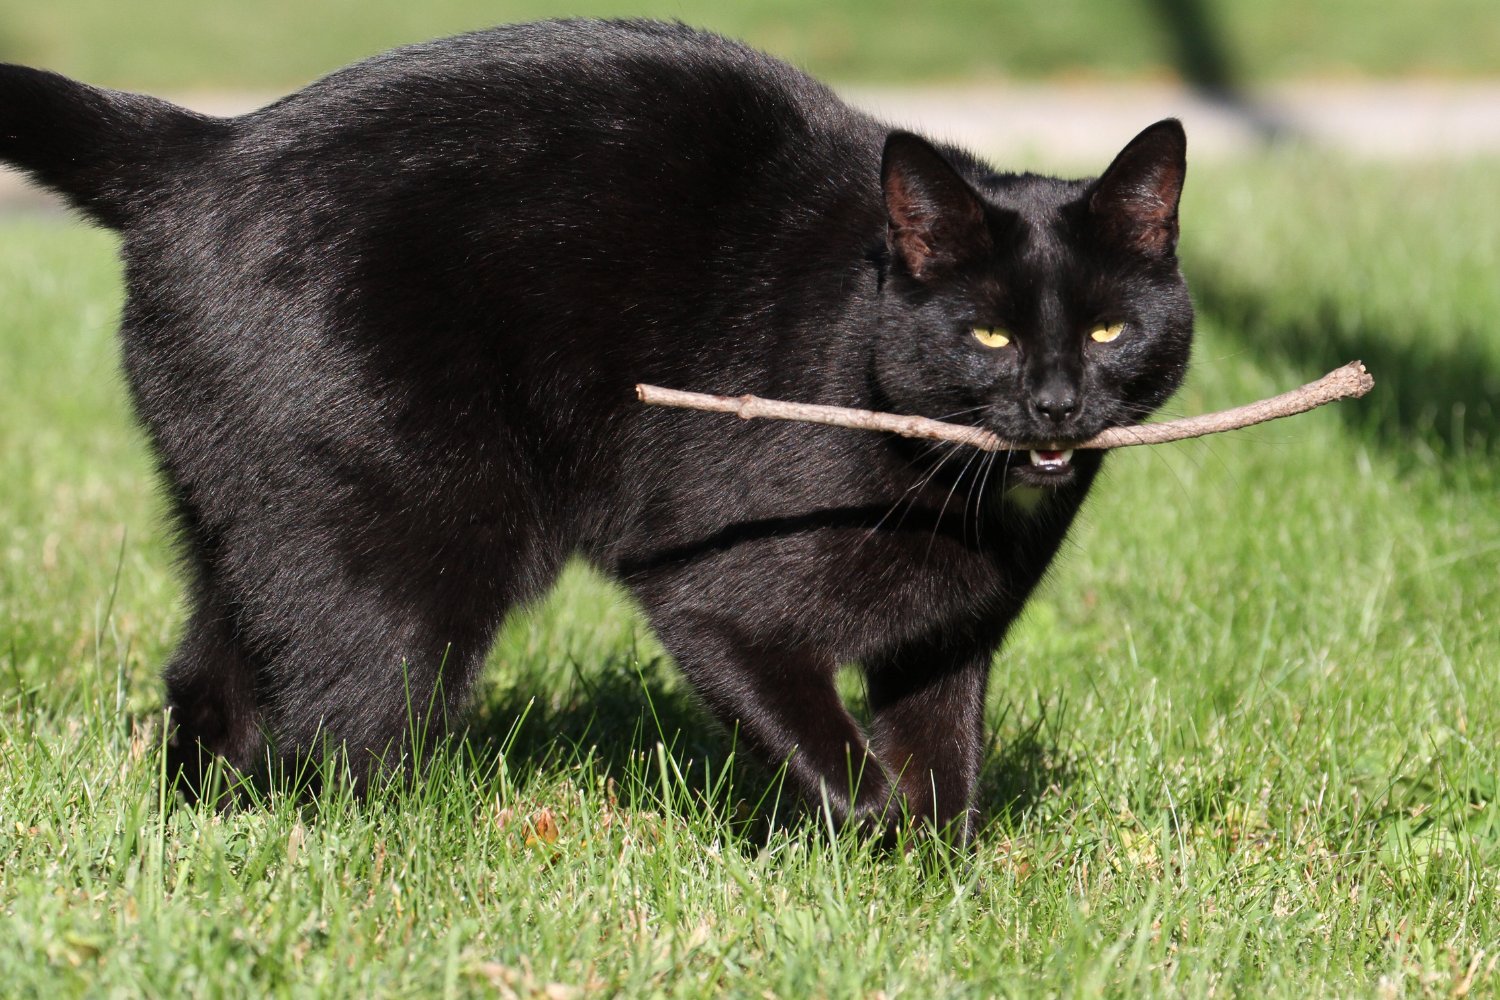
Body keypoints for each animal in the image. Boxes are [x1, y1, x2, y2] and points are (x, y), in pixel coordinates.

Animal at [2, 19, 1194, 839]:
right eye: (989, 332)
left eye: (1108, 328)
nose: (1055, 403)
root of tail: (203, 148)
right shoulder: (715, 599)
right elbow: (849, 772)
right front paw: (874, 850)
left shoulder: (948, 638)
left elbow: (947, 776)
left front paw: (939, 890)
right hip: (400, 545)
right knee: (337, 735)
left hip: (246, 521)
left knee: (210, 685)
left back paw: (208, 826)